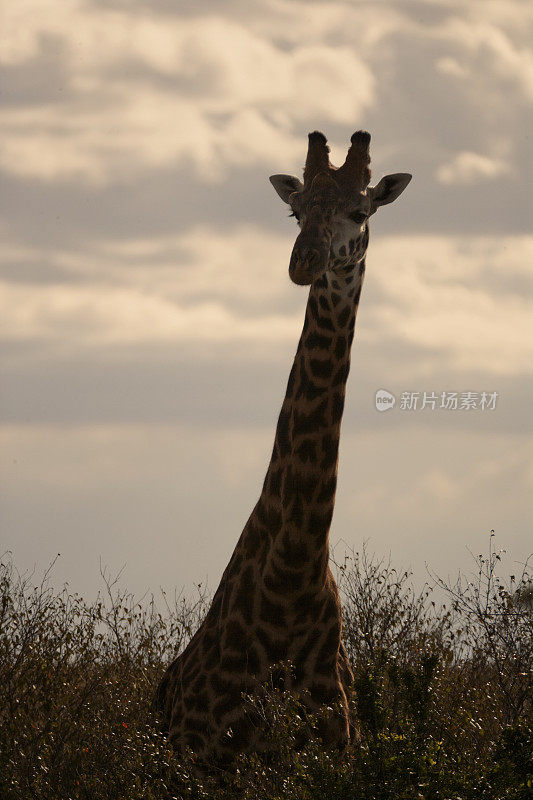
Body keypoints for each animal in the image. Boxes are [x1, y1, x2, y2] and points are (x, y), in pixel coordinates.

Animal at [154, 130, 412, 764]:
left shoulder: (336, 756)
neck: (293, 571)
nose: (303, 262)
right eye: (295, 211)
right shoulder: (208, 761)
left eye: (361, 210)